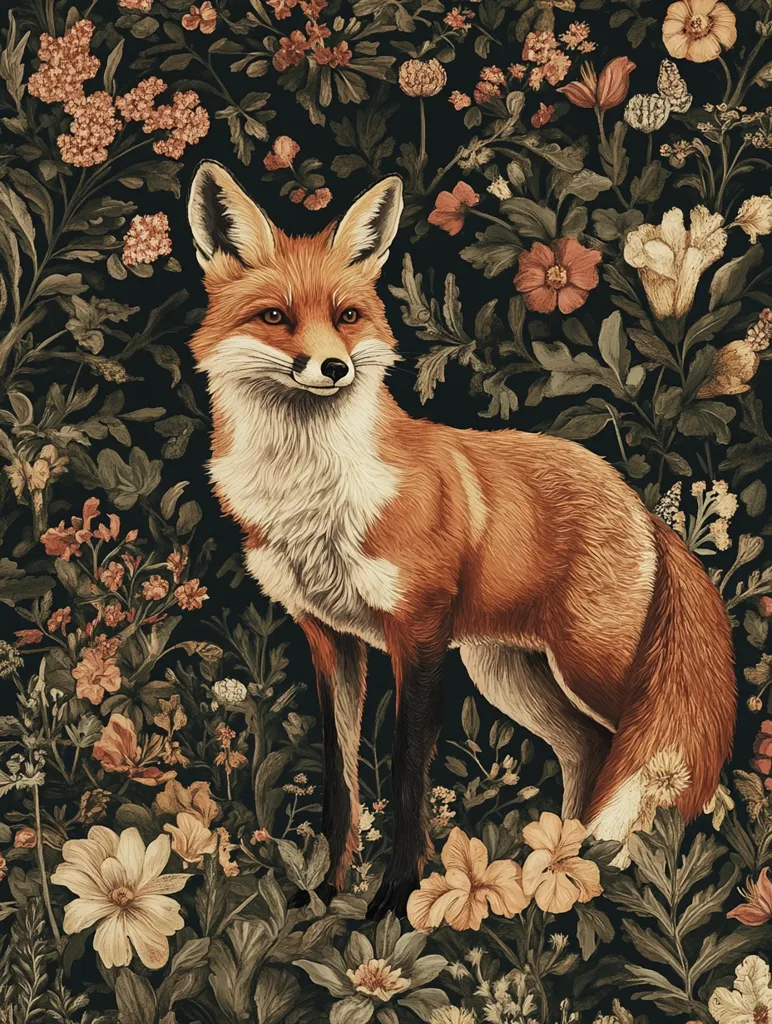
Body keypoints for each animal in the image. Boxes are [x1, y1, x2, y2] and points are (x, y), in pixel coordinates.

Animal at [186, 161, 736, 918]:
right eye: (275, 317)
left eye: (347, 317)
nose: (334, 368)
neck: (313, 493)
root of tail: (640, 504)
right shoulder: (329, 638)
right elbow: (340, 783)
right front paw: (326, 893)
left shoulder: (417, 631)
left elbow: (406, 775)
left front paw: (397, 898)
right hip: (509, 671)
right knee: (589, 753)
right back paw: (566, 871)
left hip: (598, 668)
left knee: (654, 763)